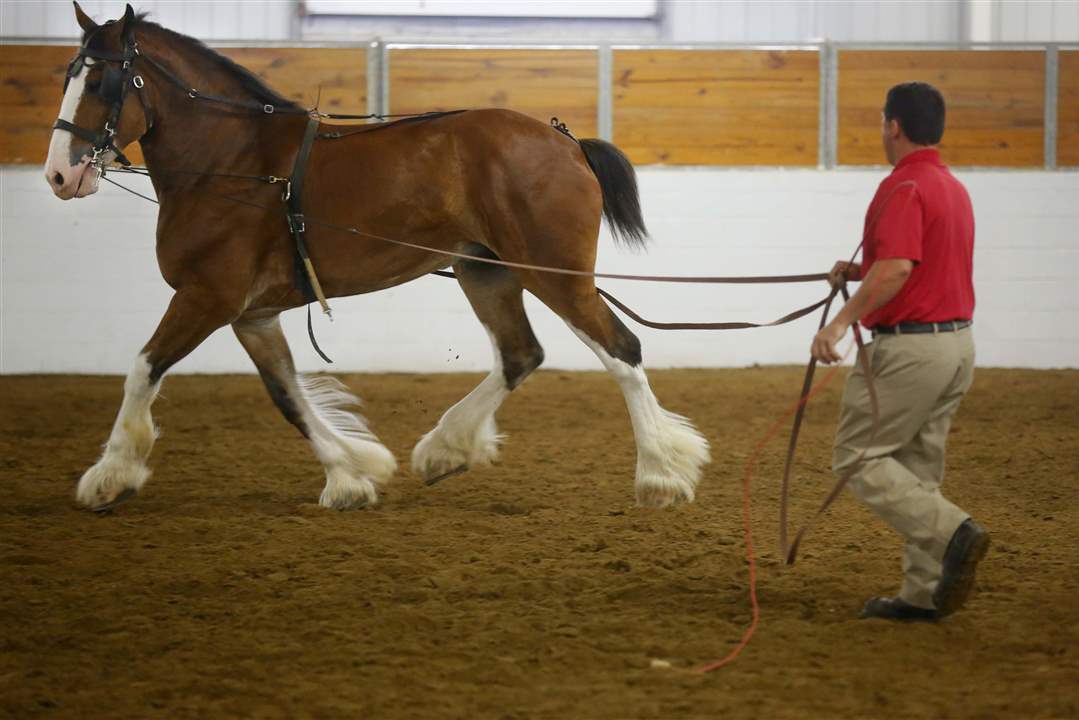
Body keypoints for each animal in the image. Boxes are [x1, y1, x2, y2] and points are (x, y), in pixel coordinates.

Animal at [46, 2, 712, 515]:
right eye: (70, 76)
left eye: (102, 82)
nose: (60, 175)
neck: (230, 162)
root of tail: (565, 141)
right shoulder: (250, 313)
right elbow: (287, 396)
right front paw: (351, 474)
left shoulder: (206, 297)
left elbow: (143, 369)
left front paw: (110, 475)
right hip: (484, 270)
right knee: (521, 354)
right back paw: (446, 448)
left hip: (555, 273)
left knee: (621, 350)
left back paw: (660, 474)